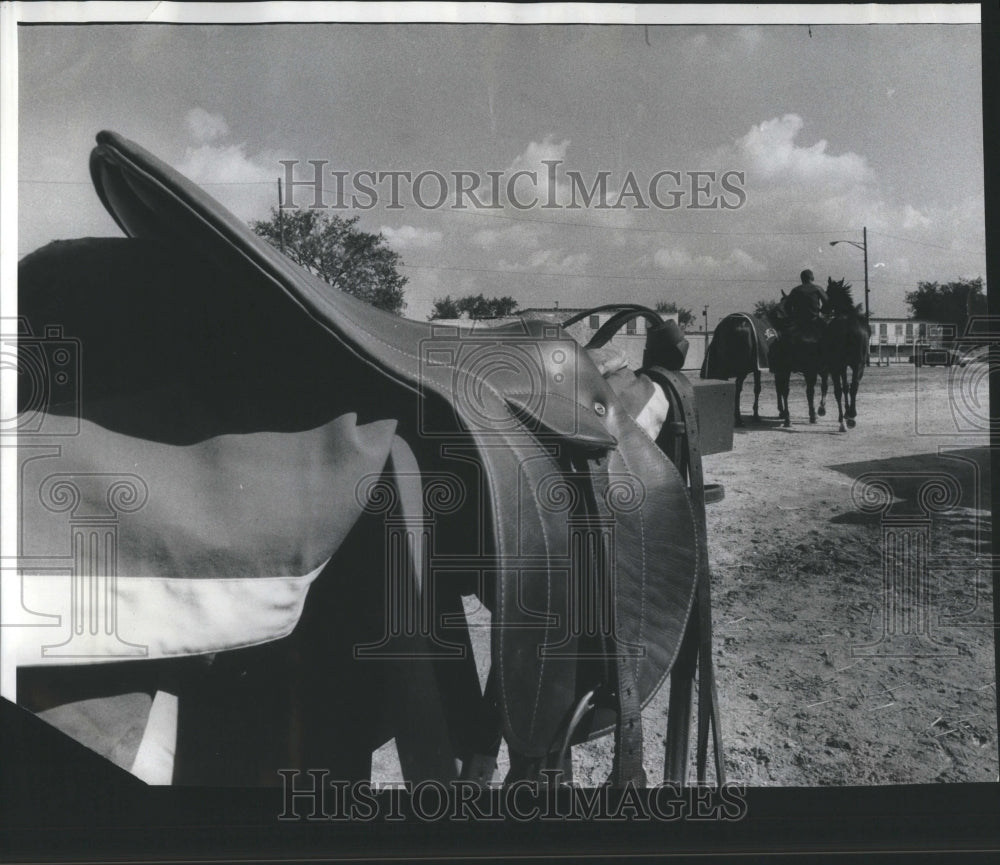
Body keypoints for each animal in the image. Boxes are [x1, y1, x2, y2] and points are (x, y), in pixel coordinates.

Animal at [816, 280, 872, 432]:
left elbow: (843, 387)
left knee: (839, 390)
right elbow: (847, 387)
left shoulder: (839, 366)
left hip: (838, 365)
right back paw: (850, 417)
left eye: (827, 292)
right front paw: (849, 413)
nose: (823, 309)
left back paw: (843, 421)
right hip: (858, 365)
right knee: (853, 387)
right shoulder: (849, 365)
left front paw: (845, 414)